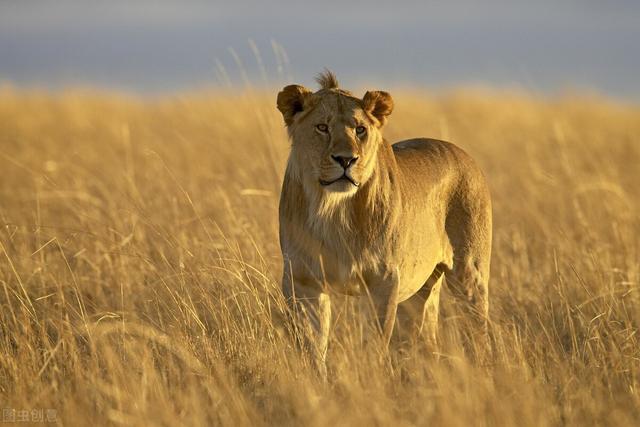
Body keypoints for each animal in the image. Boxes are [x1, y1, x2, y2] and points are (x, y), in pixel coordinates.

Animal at [278, 70, 492, 374]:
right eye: (322, 127)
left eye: (360, 129)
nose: (346, 160)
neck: (332, 209)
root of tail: (465, 155)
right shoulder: (302, 280)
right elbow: (312, 346)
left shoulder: (384, 280)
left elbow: (374, 346)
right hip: (418, 292)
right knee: (426, 341)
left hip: (469, 275)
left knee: (477, 335)